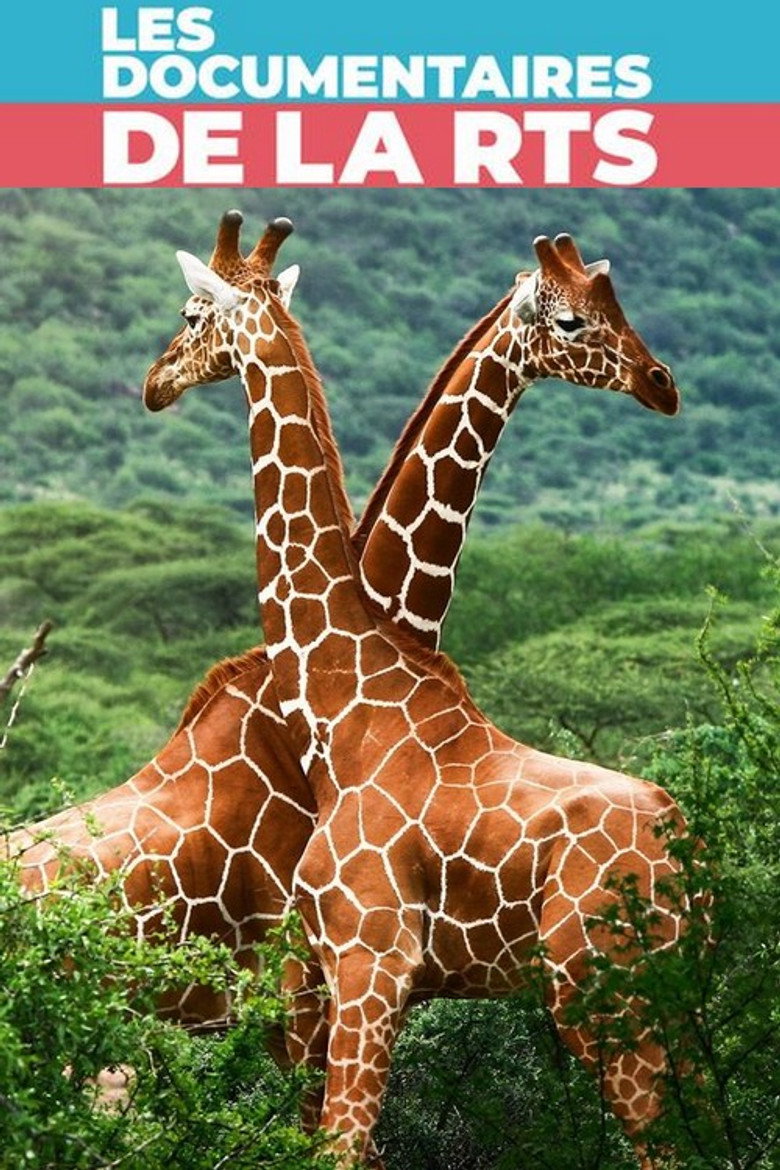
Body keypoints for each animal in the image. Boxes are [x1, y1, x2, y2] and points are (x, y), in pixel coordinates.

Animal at [143, 212, 687, 1168]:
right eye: (575, 320)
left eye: (189, 312)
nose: (154, 382)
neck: (348, 692)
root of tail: (685, 845)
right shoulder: (332, 977)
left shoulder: (367, 964)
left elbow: (340, 1146)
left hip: (606, 991)